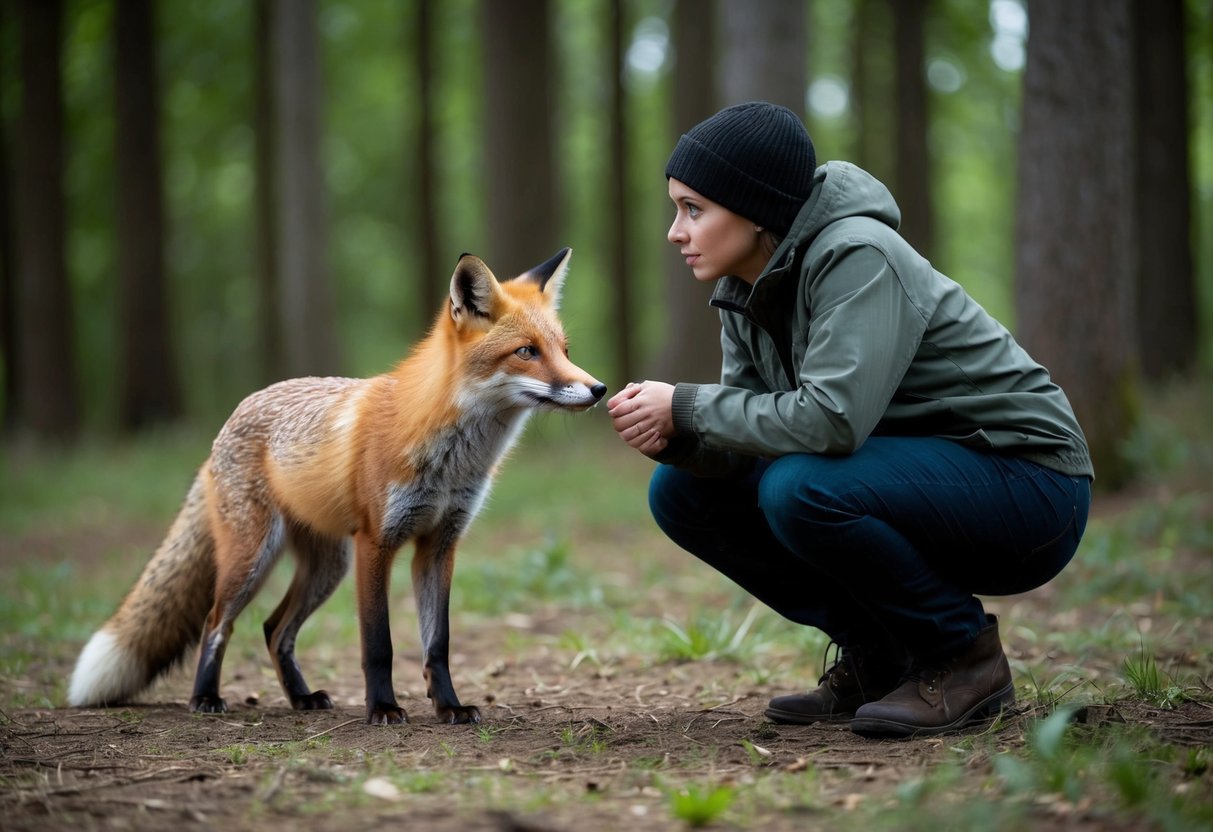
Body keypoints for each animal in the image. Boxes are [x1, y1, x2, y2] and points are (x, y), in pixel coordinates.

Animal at [68, 248, 605, 725]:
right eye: (526, 352)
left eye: (564, 350)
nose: (599, 389)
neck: (452, 459)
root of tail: (233, 417)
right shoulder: (376, 543)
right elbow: (379, 644)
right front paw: (383, 709)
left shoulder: (439, 545)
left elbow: (438, 644)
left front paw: (449, 707)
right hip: (254, 557)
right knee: (216, 622)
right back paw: (205, 698)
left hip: (327, 567)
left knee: (273, 628)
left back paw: (301, 699)